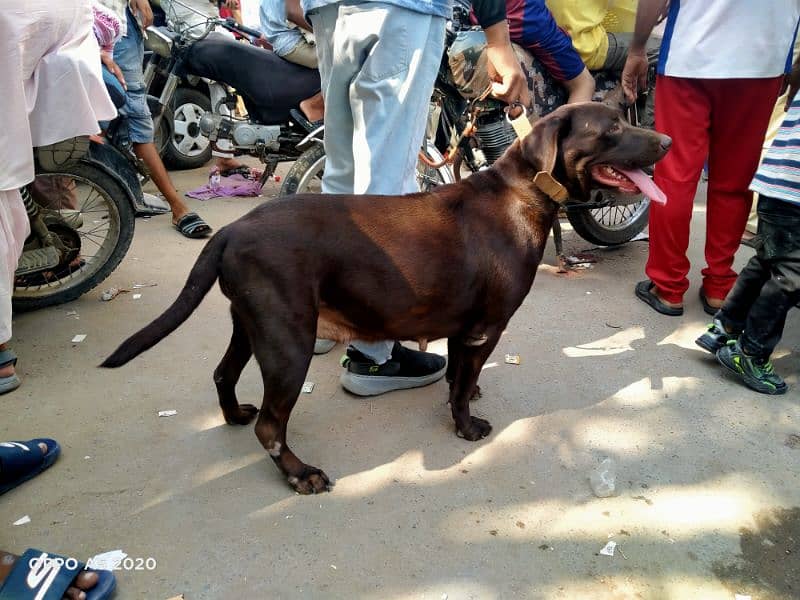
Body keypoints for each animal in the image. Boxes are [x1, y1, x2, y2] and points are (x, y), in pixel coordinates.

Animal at [103, 104, 672, 496]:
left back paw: (234, 415)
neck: (523, 193)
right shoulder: (485, 329)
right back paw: (299, 473)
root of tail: (231, 230)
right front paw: (467, 426)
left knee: (224, 375)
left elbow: (461, 376)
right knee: (271, 425)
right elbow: (459, 388)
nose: (666, 139)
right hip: (288, 342)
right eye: (612, 128)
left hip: (251, 322)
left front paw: (471, 393)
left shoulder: (466, 330)